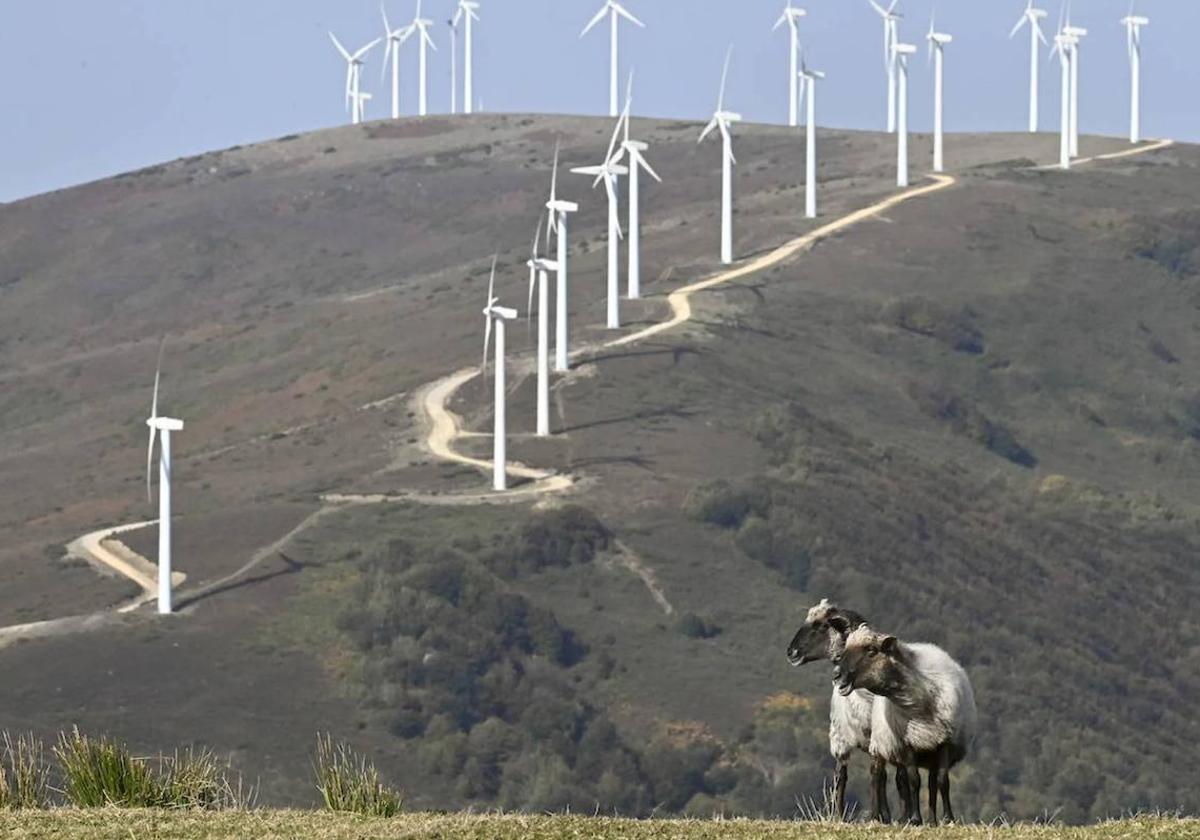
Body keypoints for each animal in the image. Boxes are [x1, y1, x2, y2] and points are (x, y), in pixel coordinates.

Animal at [787, 600, 892, 825]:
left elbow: (875, 774)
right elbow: (840, 776)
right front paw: (838, 816)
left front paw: (875, 816)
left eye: (820, 625)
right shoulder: (839, 739)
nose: (791, 652)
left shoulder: (877, 739)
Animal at [835, 624, 974, 825]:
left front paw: (948, 818)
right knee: (876, 775)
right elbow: (914, 780)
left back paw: (929, 820)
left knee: (927, 782)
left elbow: (942, 781)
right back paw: (875, 816)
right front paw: (915, 818)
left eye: (871, 651)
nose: (837, 675)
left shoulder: (944, 741)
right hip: (871, 741)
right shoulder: (907, 744)